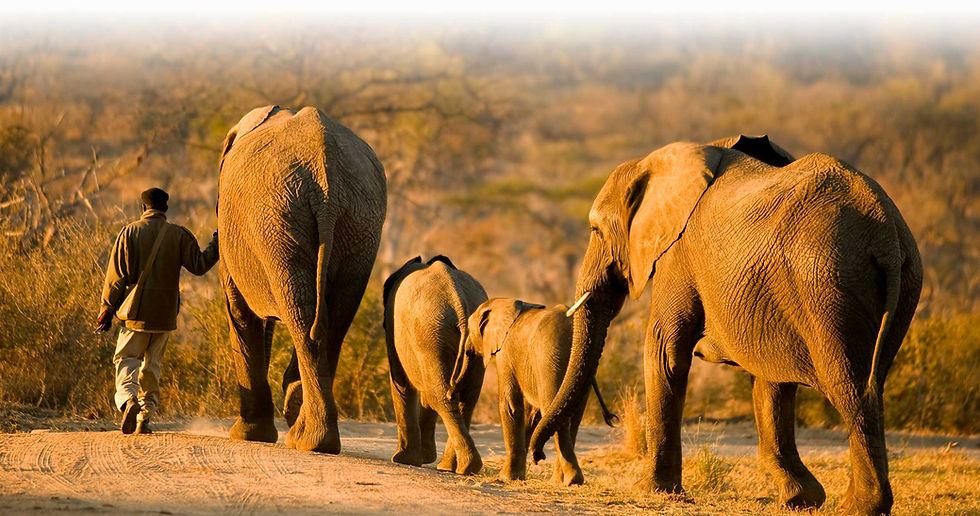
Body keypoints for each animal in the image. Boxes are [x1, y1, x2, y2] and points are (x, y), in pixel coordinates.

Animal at [217, 105, 386, 453]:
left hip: (278, 220)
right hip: (360, 223)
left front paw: (248, 435)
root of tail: (327, 180)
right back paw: (314, 435)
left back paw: (307, 439)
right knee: (333, 321)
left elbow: (239, 312)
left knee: (302, 317)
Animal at [382, 255, 488, 474]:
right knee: (465, 399)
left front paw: (403, 460)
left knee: (439, 395)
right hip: (466, 339)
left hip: (429, 334)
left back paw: (459, 466)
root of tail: (459, 303)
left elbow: (401, 384)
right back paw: (456, 467)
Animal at [447, 298, 618, 485]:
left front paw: (506, 478)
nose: (450, 394)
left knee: (552, 407)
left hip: (548, 358)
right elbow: (531, 414)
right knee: (572, 417)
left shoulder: (505, 352)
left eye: (471, 330)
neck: (507, 303)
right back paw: (561, 481)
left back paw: (571, 480)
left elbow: (510, 405)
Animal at [529, 135, 921, 515]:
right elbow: (770, 382)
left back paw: (859, 507)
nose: (538, 457)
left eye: (595, 230)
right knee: (873, 382)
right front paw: (798, 500)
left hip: (826, 285)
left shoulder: (677, 252)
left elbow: (664, 350)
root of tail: (886, 235)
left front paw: (652, 490)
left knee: (851, 387)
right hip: (897, 283)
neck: (657, 164)